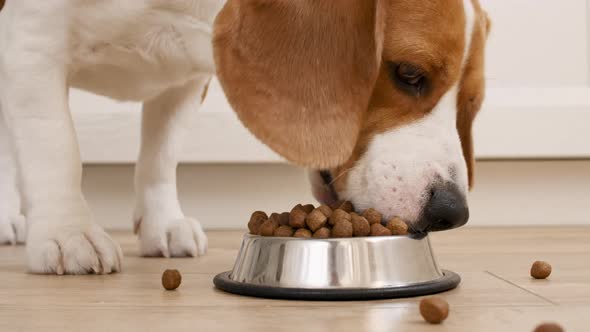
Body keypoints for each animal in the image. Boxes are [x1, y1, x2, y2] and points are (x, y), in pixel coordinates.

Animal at [0, 0, 490, 274]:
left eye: (470, 103)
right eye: (409, 74)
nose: (451, 212)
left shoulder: (186, 77)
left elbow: (160, 154)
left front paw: (162, 222)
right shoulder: (30, 45)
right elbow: (57, 150)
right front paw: (68, 232)